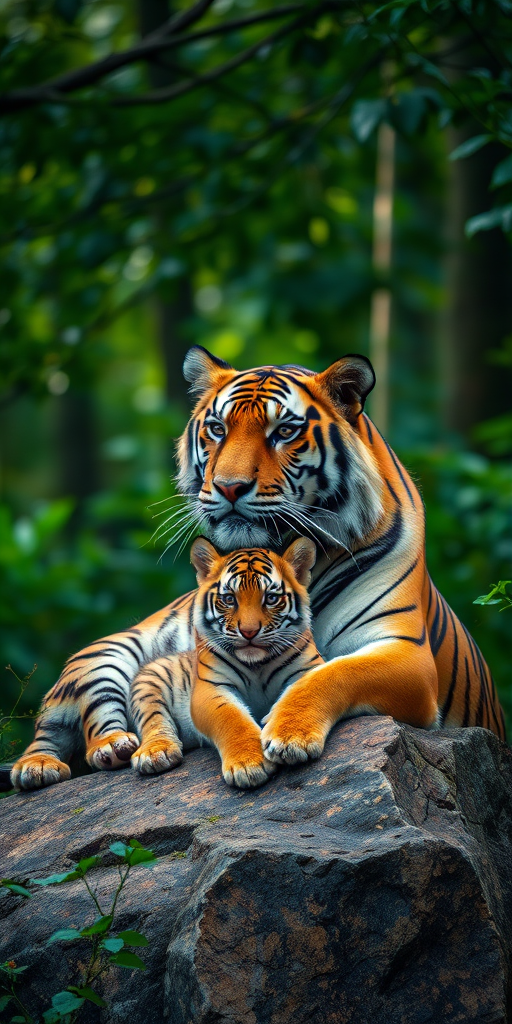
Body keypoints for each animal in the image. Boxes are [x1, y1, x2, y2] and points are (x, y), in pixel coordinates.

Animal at [130, 536, 323, 789]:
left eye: (271, 598)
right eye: (229, 599)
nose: (249, 632)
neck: (257, 665)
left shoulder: (307, 670)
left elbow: (302, 699)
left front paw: (294, 740)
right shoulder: (212, 688)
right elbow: (232, 718)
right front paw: (249, 766)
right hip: (149, 681)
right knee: (154, 721)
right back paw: (156, 754)